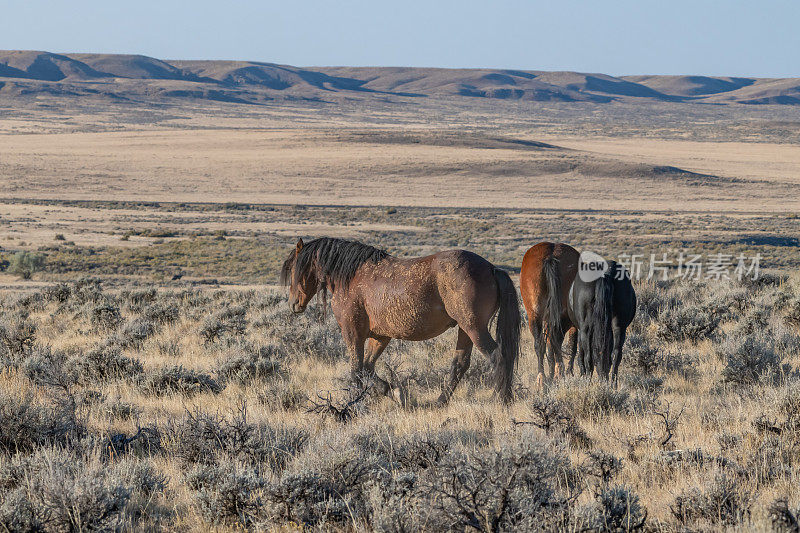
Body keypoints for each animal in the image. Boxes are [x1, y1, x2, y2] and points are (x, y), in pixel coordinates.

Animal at [282, 237, 524, 404]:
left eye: (294, 268)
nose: (294, 304)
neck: (351, 277)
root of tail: (492, 268)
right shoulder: (380, 337)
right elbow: (368, 368)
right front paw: (394, 392)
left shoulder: (353, 334)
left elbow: (356, 370)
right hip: (465, 330)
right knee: (460, 365)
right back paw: (440, 402)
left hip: (474, 328)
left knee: (497, 357)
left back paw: (501, 399)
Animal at [520, 242, 580, 386]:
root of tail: (550, 256)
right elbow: (571, 345)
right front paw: (565, 372)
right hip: (561, 316)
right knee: (555, 340)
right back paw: (557, 373)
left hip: (535, 315)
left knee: (540, 344)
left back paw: (542, 377)